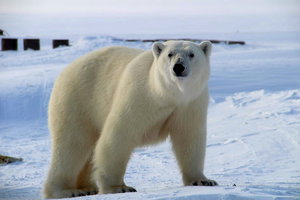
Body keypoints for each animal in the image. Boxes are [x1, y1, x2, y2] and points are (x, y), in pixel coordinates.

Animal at [43, 40, 218, 198]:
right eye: (170, 54)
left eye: (192, 54)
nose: (178, 67)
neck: (165, 94)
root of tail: (66, 70)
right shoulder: (139, 95)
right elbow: (119, 135)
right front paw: (119, 187)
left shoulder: (190, 104)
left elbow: (189, 138)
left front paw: (203, 180)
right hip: (77, 100)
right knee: (72, 145)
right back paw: (66, 191)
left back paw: (87, 188)